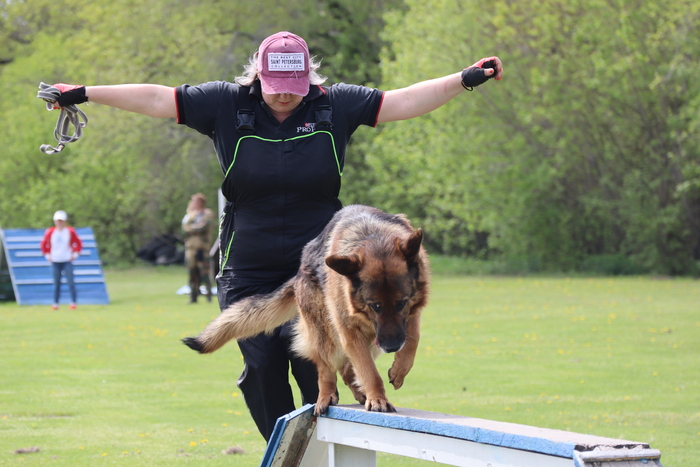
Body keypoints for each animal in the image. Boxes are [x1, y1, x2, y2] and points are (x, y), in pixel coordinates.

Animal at [182, 204, 430, 416]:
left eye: (401, 303)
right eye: (375, 306)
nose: (391, 347)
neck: (374, 237)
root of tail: (298, 272)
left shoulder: (411, 314)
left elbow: (413, 339)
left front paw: (399, 370)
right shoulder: (350, 330)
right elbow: (368, 371)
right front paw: (377, 397)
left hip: (366, 338)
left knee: (347, 368)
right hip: (326, 332)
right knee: (326, 368)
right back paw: (327, 396)